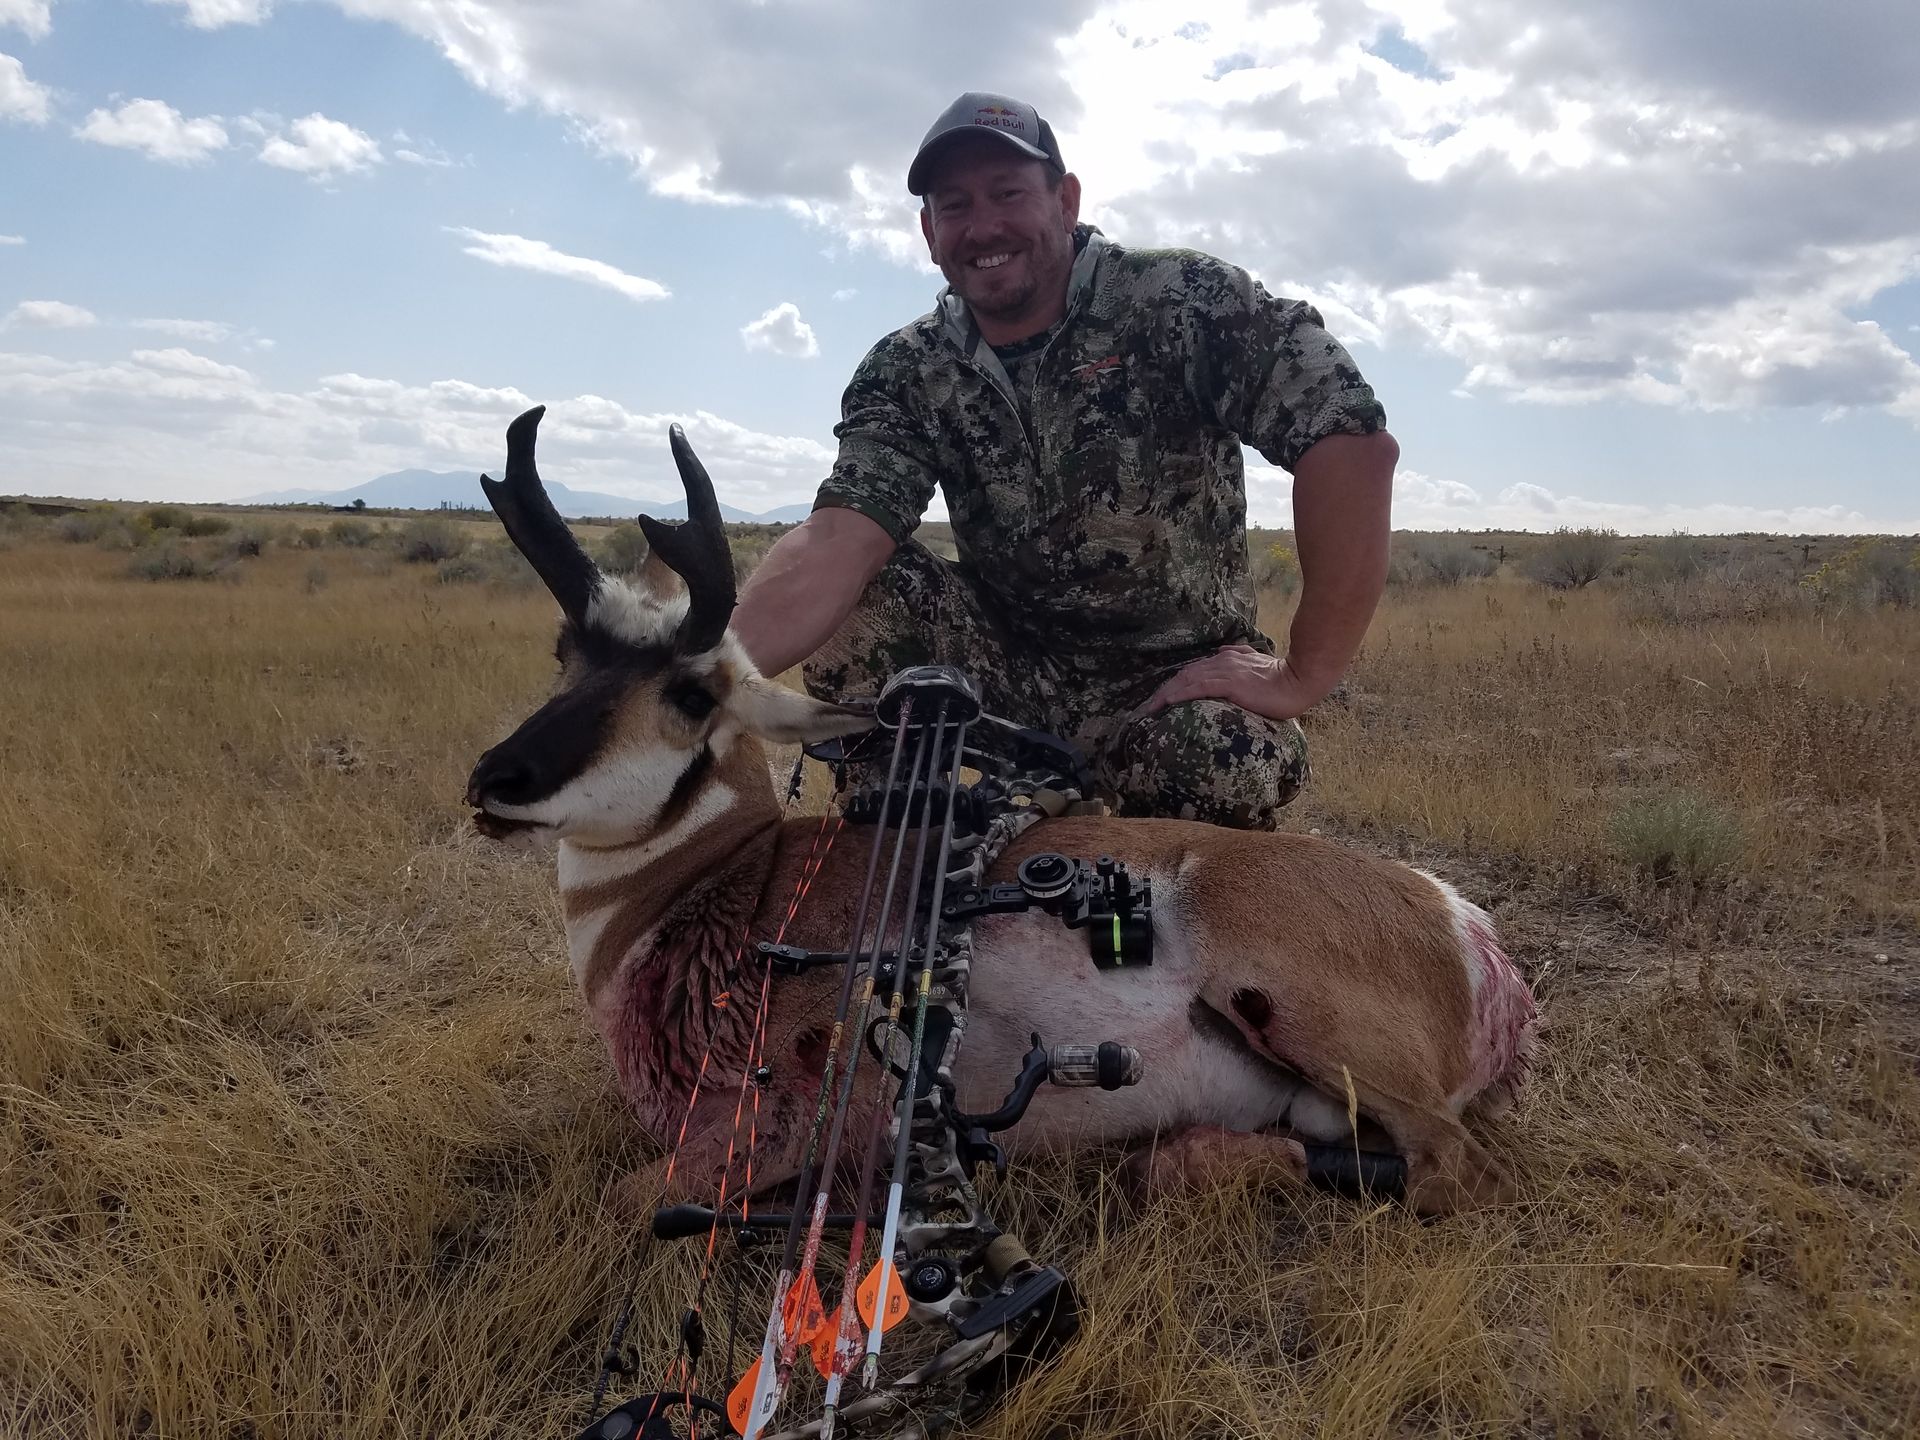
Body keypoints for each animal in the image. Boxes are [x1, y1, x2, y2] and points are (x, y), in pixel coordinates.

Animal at [467, 407, 1538, 1218]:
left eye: (691, 693)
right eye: (566, 655)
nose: (493, 782)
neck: (736, 883)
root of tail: (1459, 921)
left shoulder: (761, 1126)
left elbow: (613, 1200)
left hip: (1305, 1021)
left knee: (1457, 1170)